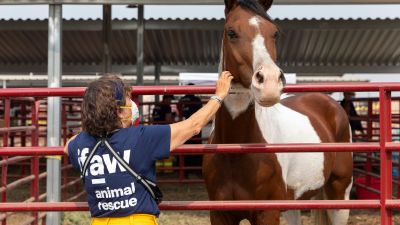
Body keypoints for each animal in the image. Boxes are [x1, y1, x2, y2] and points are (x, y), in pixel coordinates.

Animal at [203, 0, 354, 225]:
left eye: (274, 33)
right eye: (231, 32)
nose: (270, 82)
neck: (235, 150)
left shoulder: (268, 213)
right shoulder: (220, 214)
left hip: (339, 193)